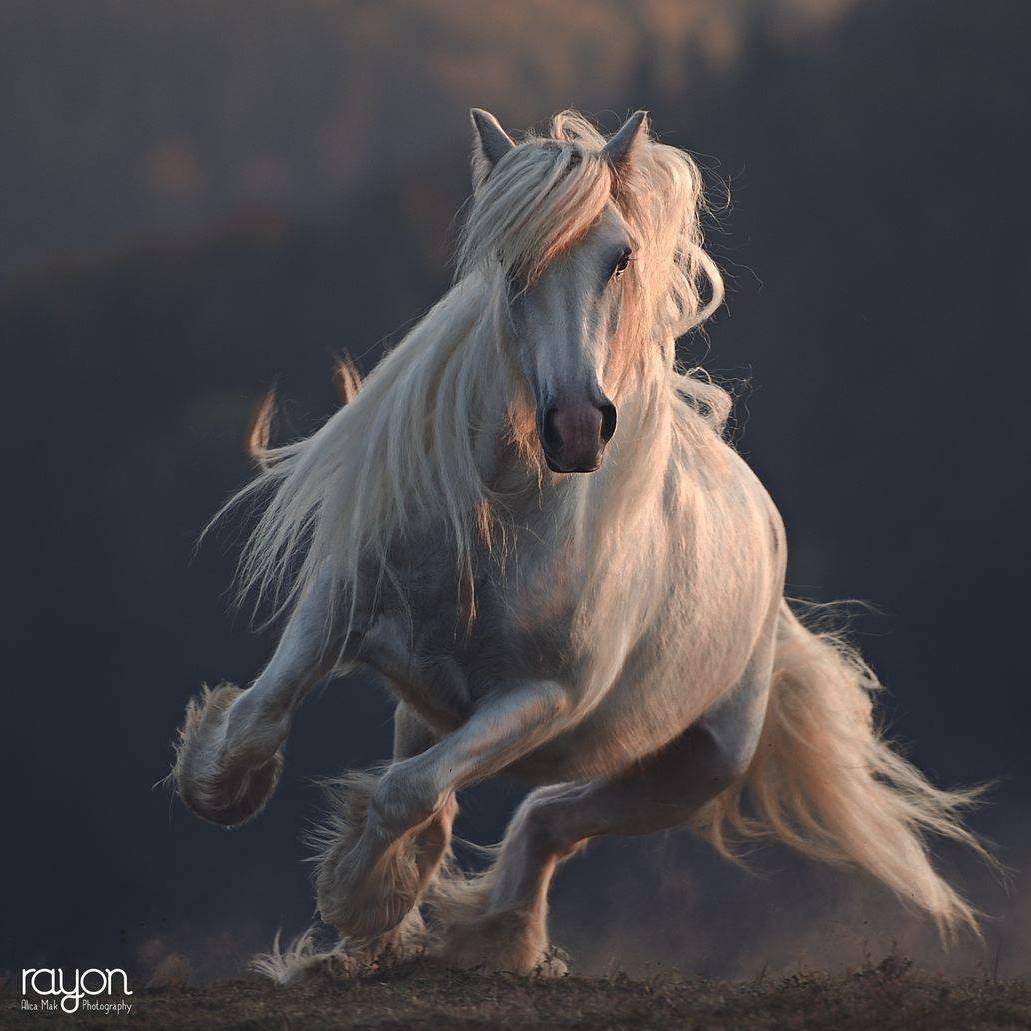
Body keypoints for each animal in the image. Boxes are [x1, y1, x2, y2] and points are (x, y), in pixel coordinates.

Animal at [173, 108, 985, 977]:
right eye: (509, 262)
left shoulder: (541, 697)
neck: (501, 521)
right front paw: (221, 789)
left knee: (542, 818)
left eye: (619, 256)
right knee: (492, 808)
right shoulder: (340, 612)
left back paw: (491, 938)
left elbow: (408, 793)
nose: (575, 426)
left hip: (693, 766)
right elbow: (263, 715)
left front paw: (354, 894)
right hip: (449, 715)